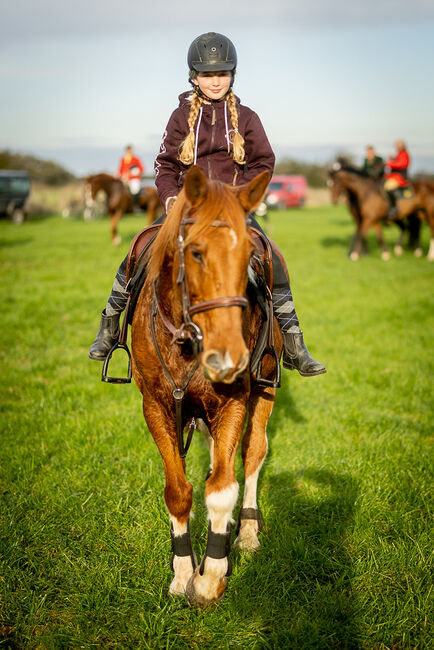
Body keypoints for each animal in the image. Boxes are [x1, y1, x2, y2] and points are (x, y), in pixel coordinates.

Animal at [131, 165, 284, 604]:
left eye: (249, 255)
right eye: (196, 252)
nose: (229, 357)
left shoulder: (234, 402)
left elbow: (221, 489)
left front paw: (211, 574)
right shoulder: (157, 406)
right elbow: (179, 490)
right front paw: (182, 571)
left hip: (264, 391)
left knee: (252, 454)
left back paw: (245, 531)